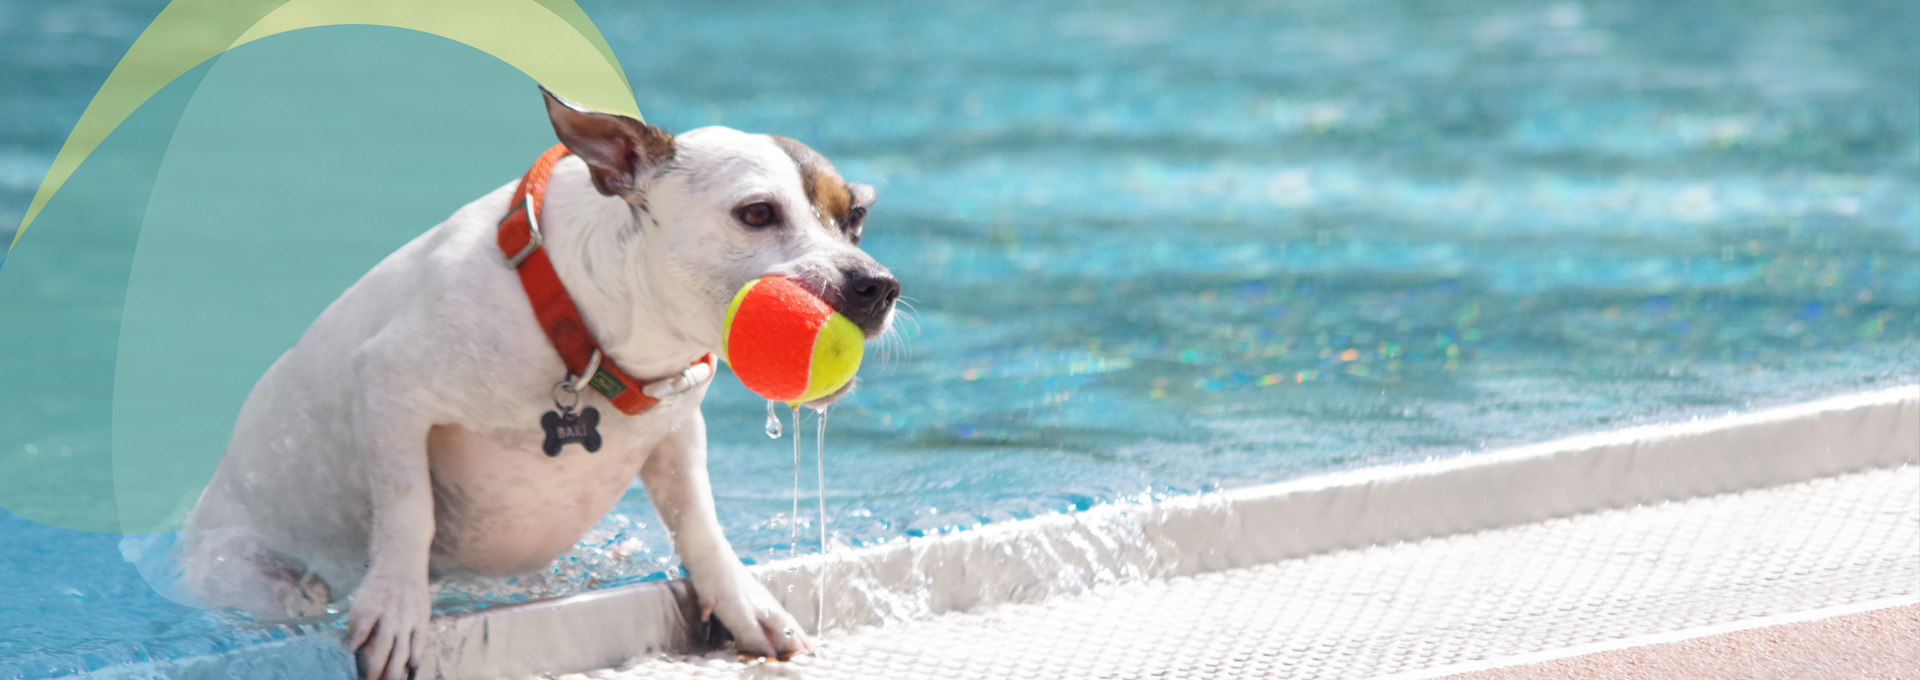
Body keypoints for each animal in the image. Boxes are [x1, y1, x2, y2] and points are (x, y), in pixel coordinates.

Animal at [181, 87, 898, 676]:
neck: (587, 336)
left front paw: (743, 601)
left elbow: (698, 520)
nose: (877, 285)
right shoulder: (390, 386)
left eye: (856, 218)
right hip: (246, 571)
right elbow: (409, 508)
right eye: (756, 213)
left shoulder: (678, 431)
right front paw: (396, 606)